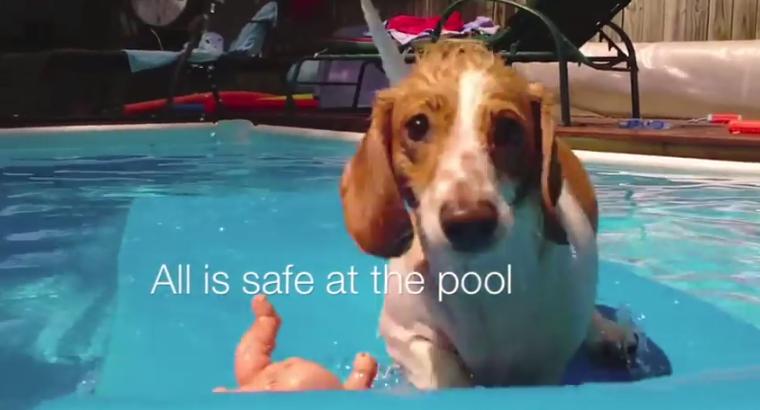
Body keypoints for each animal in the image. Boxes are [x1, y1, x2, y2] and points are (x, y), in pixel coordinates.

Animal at [338, 0, 636, 390]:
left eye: (509, 128)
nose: (468, 222)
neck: (479, 278)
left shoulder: (546, 366)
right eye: (416, 126)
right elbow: (442, 370)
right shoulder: (406, 334)